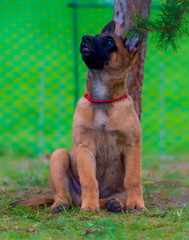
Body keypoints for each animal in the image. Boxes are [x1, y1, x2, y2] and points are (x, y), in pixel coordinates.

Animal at [11, 20, 145, 212]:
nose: (85, 38)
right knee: (63, 194)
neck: (102, 99)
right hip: (58, 156)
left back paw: (114, 203)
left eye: (109, 42)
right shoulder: (85, 146)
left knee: (114, 196)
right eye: (96, 36)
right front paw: (89, 206)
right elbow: (89, 180)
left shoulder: (132, 145)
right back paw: (63, 204)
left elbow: (133, 179)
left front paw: (136, 204)